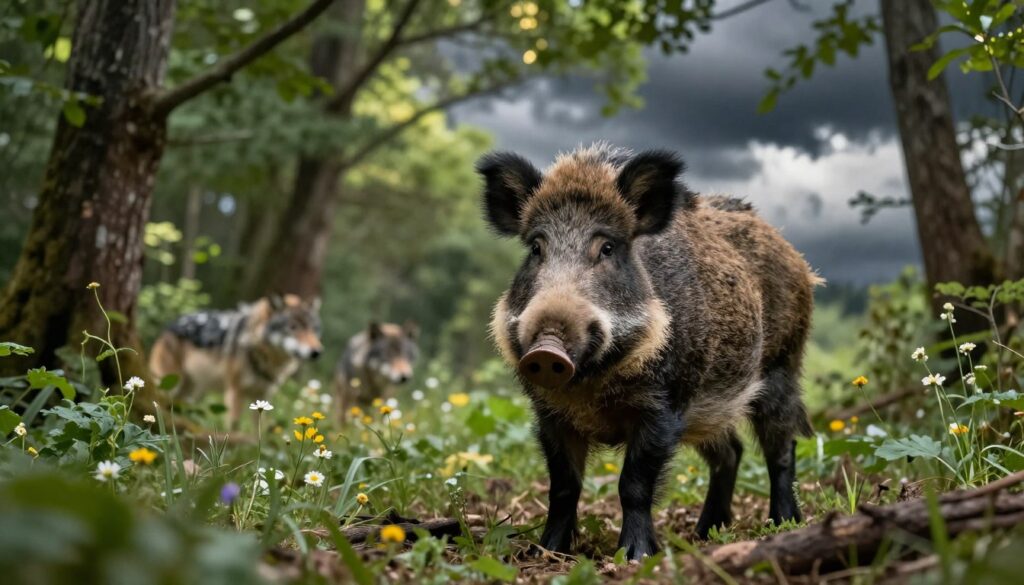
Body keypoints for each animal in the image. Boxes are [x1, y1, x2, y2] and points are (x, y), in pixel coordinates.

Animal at [149, 295, 322, 429]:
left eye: (313, 329)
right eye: (293, 327)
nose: (316, 352)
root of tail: (169, 326)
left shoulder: (263, 396)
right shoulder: (235, 392)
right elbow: (234, 425)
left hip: (193, 393)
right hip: (170, 385)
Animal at [479, 143, 818, 560]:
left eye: (607, 248)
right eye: (536, 248)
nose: (547, 350)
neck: (593, 385)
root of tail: (796, 258)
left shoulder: (663, 407)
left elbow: (633, 484)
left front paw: (635, 555)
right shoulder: (550, 416)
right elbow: (563, 486)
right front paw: (546, 551)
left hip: (782, 364)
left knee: (781, 449)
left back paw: (783, 523)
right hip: (711, 408)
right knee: (731, 451)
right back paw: (706, 532)